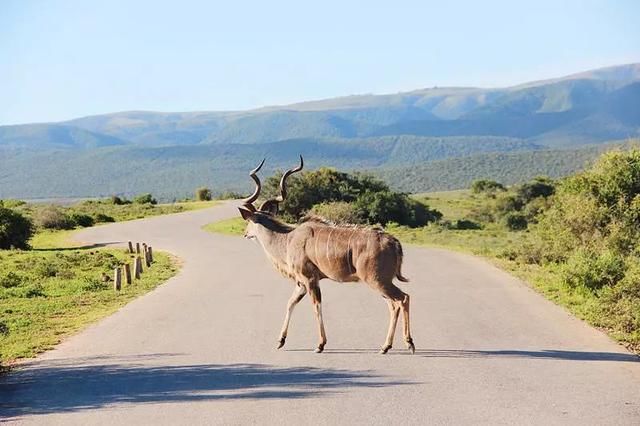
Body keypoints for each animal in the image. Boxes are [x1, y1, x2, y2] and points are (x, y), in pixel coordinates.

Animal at [239, 156, 416, 352]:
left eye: (249, 221)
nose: (245, 234)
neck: (288, 239)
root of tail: (394, 242)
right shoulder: (302, 283)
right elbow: (290, 303)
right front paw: (280, 340)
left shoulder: (309, 279)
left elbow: (316, 306)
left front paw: (320, 344)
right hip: (381, 282)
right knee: (394, 304)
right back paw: (386, 346)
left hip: (377, 280)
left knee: (403, 298)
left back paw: (408, 343)